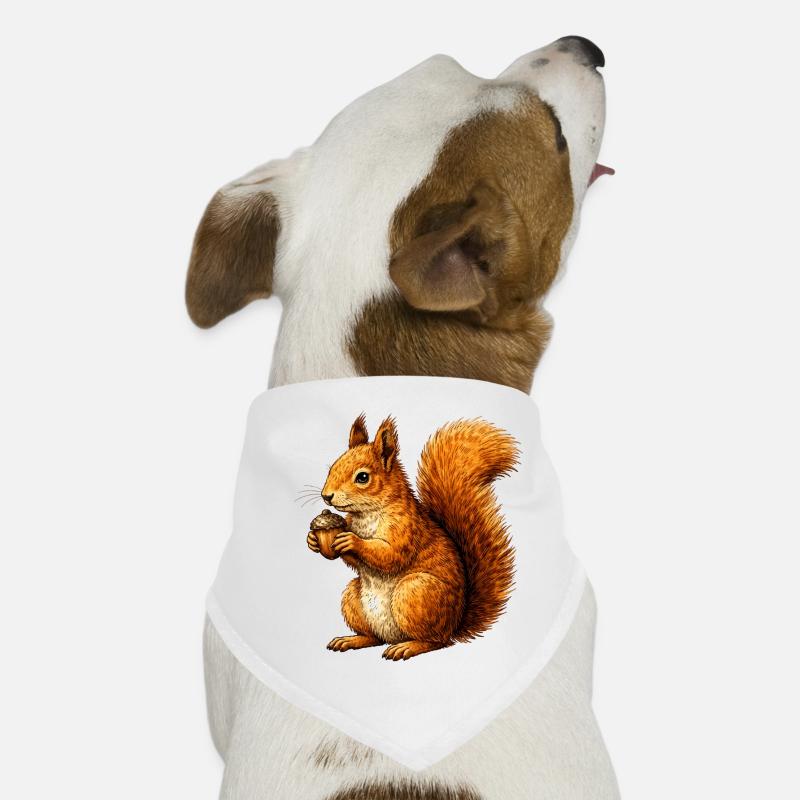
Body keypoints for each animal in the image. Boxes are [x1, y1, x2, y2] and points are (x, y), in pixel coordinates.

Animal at [307, 413, 518, 661]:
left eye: (362, 477)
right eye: (333, 466)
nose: (326, 496)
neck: (366, 514)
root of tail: (454, 625)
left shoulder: (406, 529)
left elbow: (390, 555)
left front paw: (352, 541)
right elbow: (355, 561)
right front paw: (313, 541)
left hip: (414, 592)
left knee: (436, 642)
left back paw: (407, 647)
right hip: (353, 597)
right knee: (374, 638)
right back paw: (352, 640)